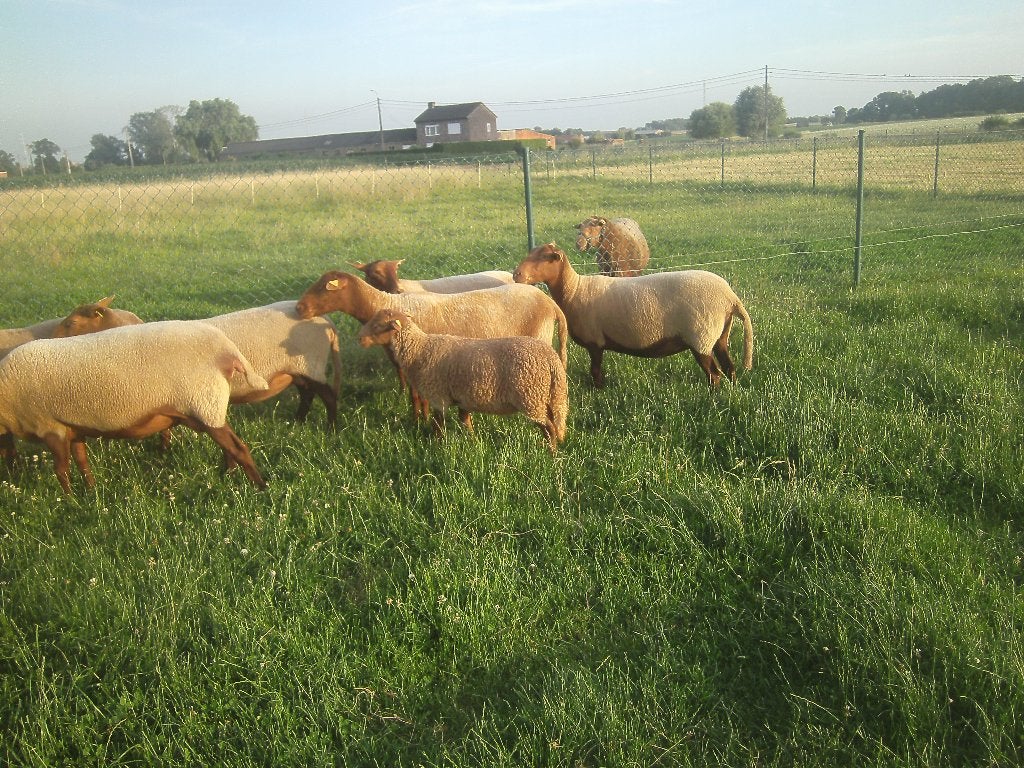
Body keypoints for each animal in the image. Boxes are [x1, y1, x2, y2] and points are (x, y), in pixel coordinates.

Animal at [0, 320, 268, 492]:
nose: (12, 474)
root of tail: (227, 348)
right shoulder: (71, 427)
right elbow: (82, 461)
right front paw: (90, 491)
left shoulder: (49, 426)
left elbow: (61, 470)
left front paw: (69, 501)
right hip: (207, 405)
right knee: (228, 447)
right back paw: (229, 475)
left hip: (203, 400)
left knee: (238, 447)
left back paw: (259, 486)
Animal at [296, 271, 567, 418]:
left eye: (325, 289)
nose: (299, 308)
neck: (387, 304)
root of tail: (550, 303)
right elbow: (415, 396)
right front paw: (418, 418)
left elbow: (420, 396)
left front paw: (421, 421)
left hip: (538, 342)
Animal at [358, 309, 568, 453]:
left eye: (377, 325)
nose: (359, 339)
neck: (418, 349)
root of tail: (551, 358)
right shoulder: (463, 399)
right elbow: (466, 423)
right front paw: (473, 443)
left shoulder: (438, 396)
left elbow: (438, 425)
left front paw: (438, 447)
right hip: (548, 396)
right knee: (553, 423)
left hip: (530, 397)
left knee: (549, 427)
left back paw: (550, 453)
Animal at [513, 242, 753, 388]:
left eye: (547, 258)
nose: (517, 275)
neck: (574, 290)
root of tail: (730, 297)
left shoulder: (595, 342)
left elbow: (595, 370)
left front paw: (598, 391)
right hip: (719, 333)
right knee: (729, 366)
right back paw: (731, 393)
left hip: (700, 335)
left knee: (714, 374)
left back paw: (713, 399)